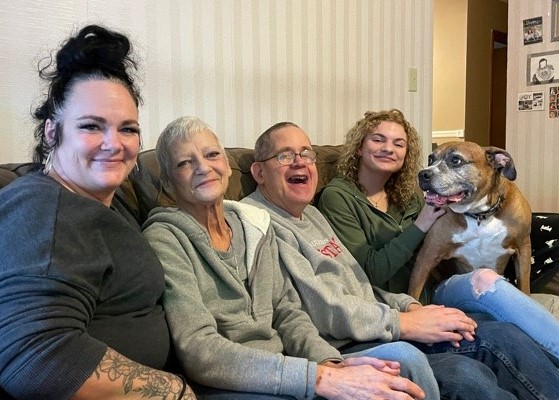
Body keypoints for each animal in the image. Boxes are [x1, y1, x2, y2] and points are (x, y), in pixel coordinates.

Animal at [410, 141, 532, 300]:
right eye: (430, 159)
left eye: (456, 160)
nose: (423, 174)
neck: (479, 214)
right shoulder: (427, 255)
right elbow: (413, 292)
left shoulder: (523, 247)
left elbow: (524, 286)